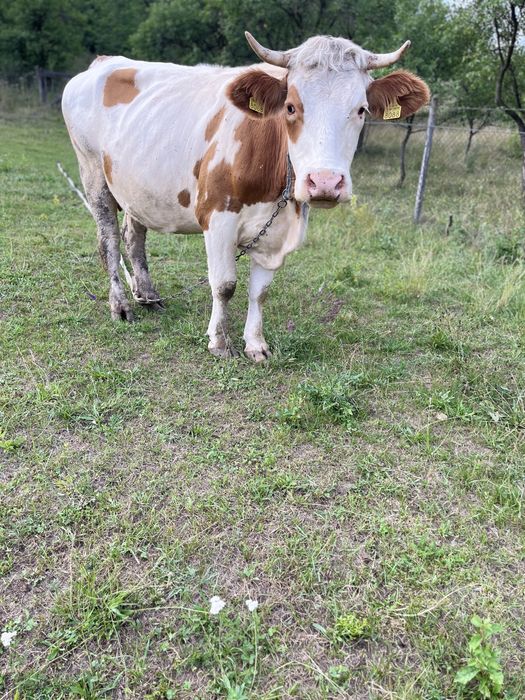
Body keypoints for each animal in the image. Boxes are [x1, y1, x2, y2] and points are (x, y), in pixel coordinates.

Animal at [62, 32, 429, 361]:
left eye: (362, 110)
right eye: (291, 107)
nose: (325, 182)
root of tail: (103, 62)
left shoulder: (277, 230)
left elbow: (260, 291)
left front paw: (256, 344)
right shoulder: (217, 218)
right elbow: (224, 284)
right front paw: (220, 342)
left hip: (136, 187)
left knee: (133, 237)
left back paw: (148, 296)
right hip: (93, 174)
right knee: (108, 241)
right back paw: (121, 306)